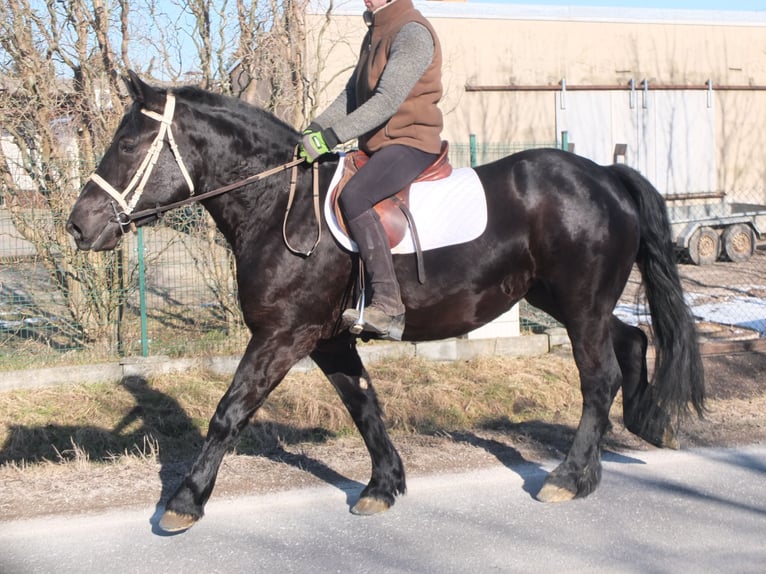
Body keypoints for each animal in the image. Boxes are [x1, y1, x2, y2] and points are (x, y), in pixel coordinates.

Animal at [67, 73, 708, 536]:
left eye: (127, 143)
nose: (78, 226)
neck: (278, 203)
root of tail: (604, 174)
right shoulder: (326, 338)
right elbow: (363, 405)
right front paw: (382, 486)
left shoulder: (283, 335)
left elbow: (229, 412)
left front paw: (184, 502)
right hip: (567, 301)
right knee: (631, 341)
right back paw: (639, 429)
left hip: (578, 304)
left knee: (599, 378)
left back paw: (570, 477)